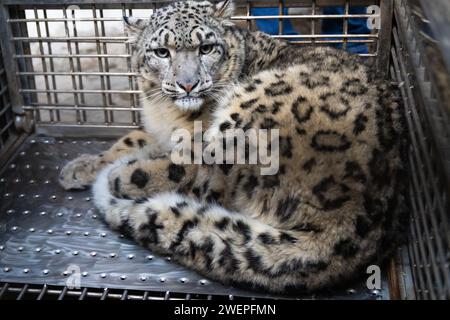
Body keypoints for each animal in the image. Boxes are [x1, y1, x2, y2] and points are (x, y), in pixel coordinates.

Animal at [58, 0, 406, 294]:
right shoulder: (158, 131)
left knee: (202, 179)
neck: (167, 113)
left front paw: (112, 170)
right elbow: (131, 139)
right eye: (161, 51)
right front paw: (81, 166)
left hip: (244, 117)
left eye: (206, 47)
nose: (188, 84)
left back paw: (125, 175)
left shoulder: (192, 141)